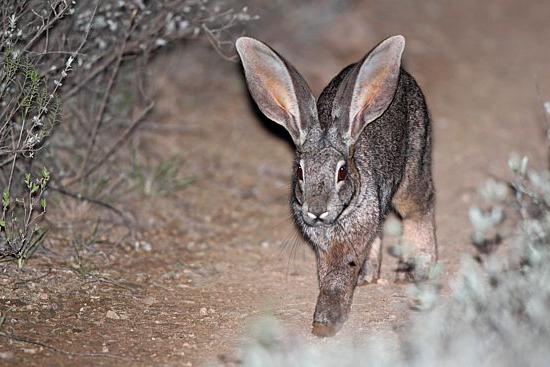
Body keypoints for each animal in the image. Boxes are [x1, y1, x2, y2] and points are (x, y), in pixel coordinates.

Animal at [237, 36, 440, 338]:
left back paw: (415, 271)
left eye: (342, 172)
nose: (316, 210)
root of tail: (403, 75)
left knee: (420, 207)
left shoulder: (349, 241)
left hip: (414, 164)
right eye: (300, 171)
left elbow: (338, 277)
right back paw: (368, 276)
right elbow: (327, 274)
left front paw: (326, 323)